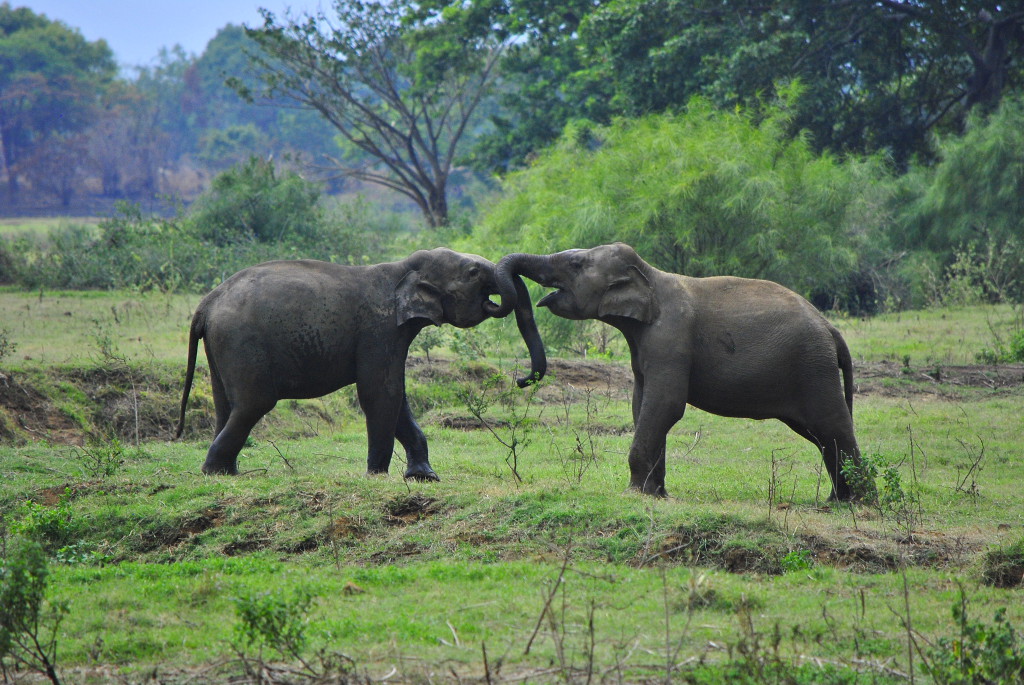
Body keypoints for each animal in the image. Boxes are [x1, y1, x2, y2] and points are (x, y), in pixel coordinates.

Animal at [176, 248, 544, 479]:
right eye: (472, 272)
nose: (522, 380)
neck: (403, 267)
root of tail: (206, 304)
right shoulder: (379, 328)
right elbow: (381, 393)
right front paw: (377, 476)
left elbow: (398, 398)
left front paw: (425, 478)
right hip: (241, 341)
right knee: (254, 402)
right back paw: (214, 472)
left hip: (222, 346)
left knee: (226, 403)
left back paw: (226, 473)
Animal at [493, 244, 856, 497]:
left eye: (576, 265)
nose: (521, 379)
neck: (650, 275)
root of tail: (832, 330)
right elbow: (642, 406)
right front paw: (656, 494)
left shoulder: (670, 338)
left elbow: (664, 405)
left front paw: (634, 494)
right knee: (822, 435)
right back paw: (836, 500)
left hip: (813, 367)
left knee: (832, 426)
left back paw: (851, 503)